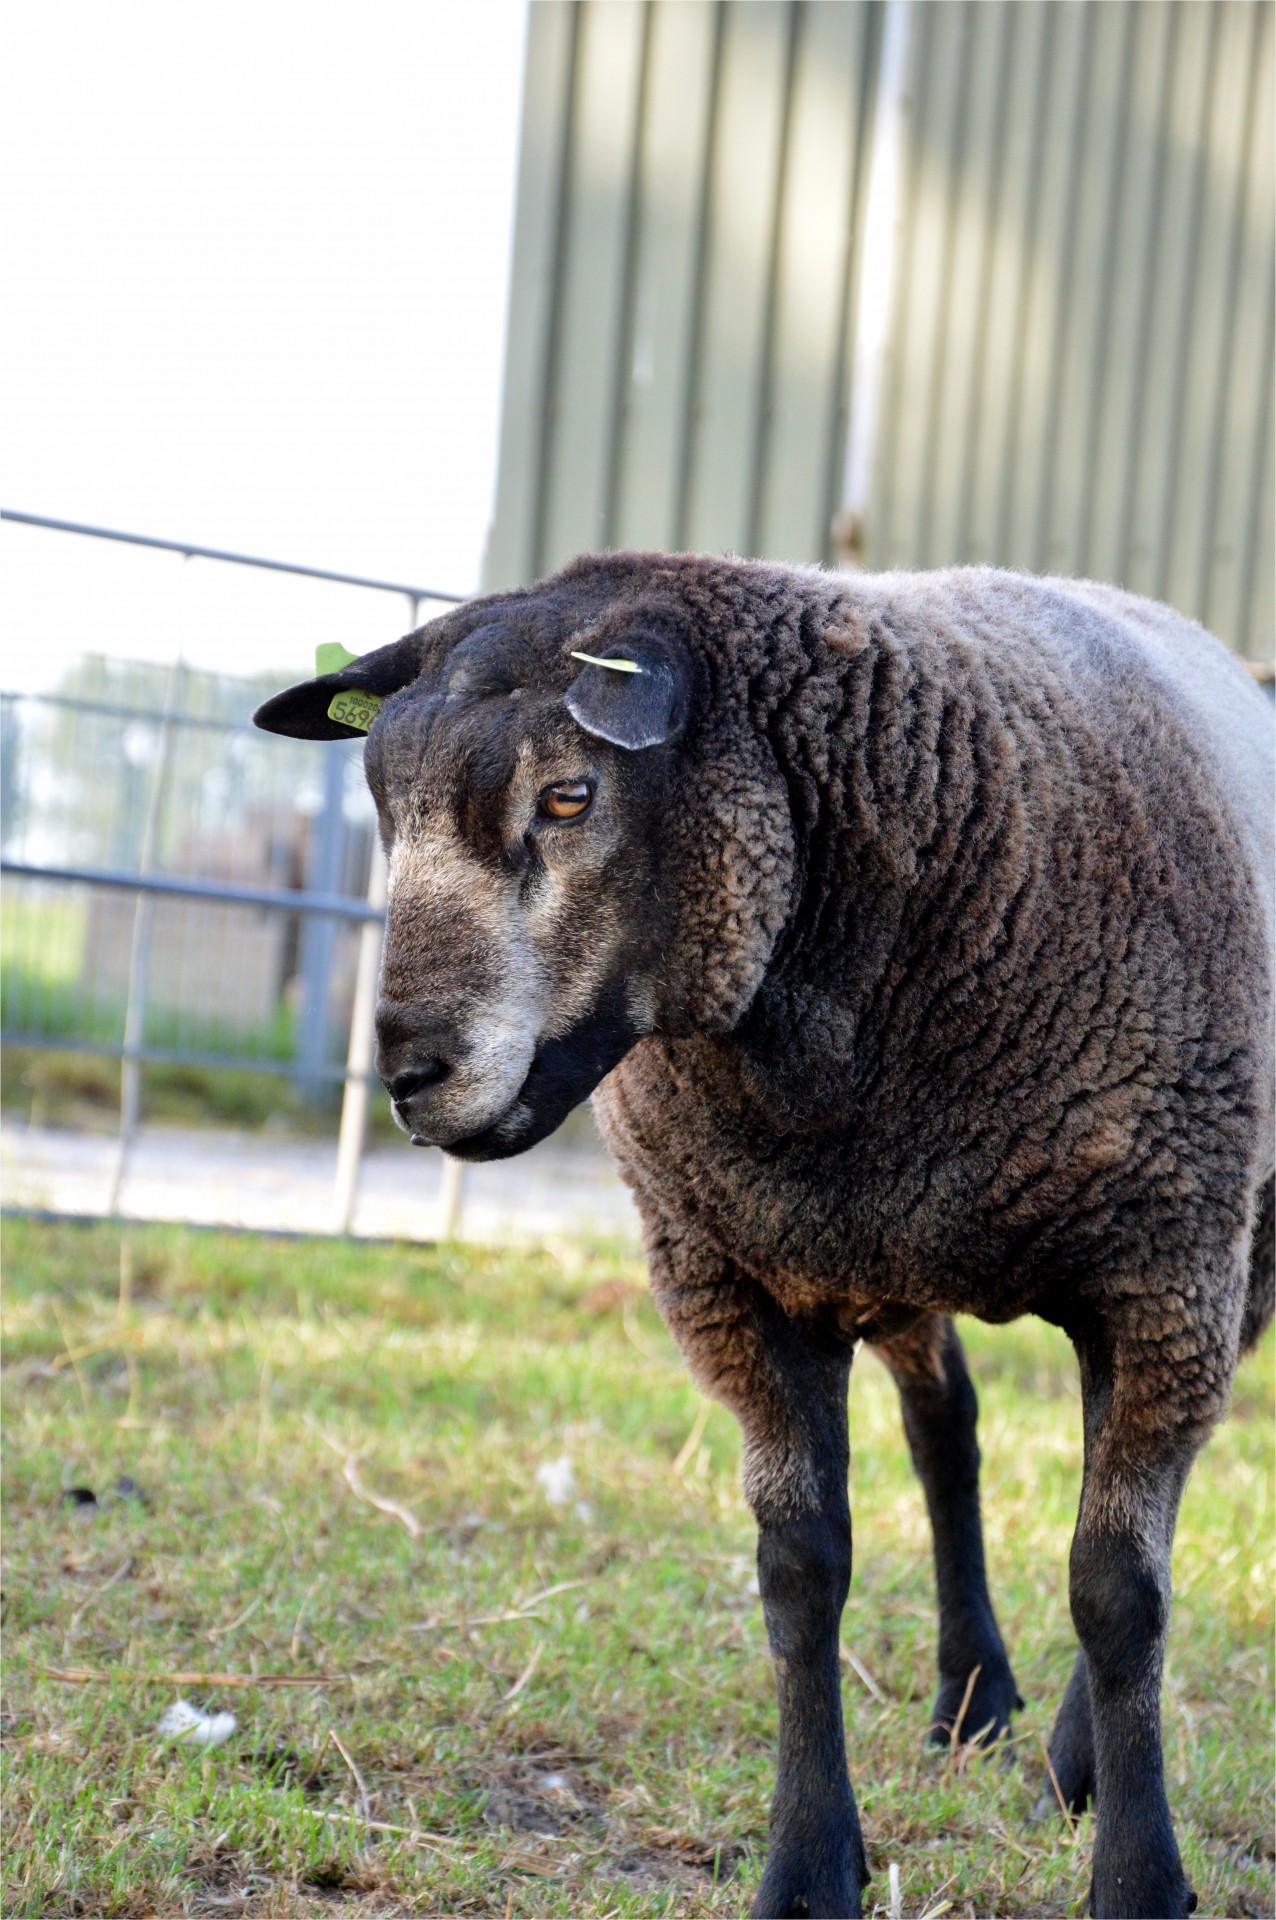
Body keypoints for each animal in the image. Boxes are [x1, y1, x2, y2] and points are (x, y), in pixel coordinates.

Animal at [253, 552, 1266, 1920]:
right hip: (881, 1250)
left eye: (569, 795)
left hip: (1223, 1250)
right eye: (379, 800)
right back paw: (969, 1695)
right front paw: (807, 1864)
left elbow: (1118, 1589)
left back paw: (1066, 1756)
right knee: (945, 1427)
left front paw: (1138, 1871)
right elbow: (799, 1569)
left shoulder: (1162, 1271)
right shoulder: (734, 1277)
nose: (410, 1071)